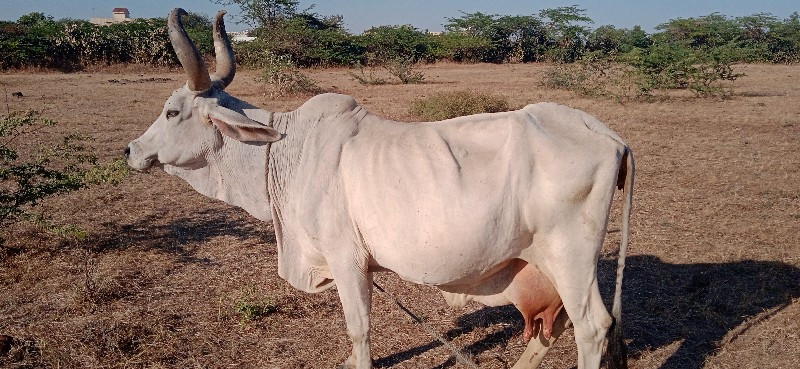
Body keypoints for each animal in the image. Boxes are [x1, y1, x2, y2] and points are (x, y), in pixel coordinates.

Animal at [126, 9, 636, 368]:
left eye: (172, 111)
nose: (132, 150)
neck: (284, 152)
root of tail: (608, 135)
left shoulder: (346, 258)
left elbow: (359, 326)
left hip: (571, 257)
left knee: (593, 328)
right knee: (554, 327)